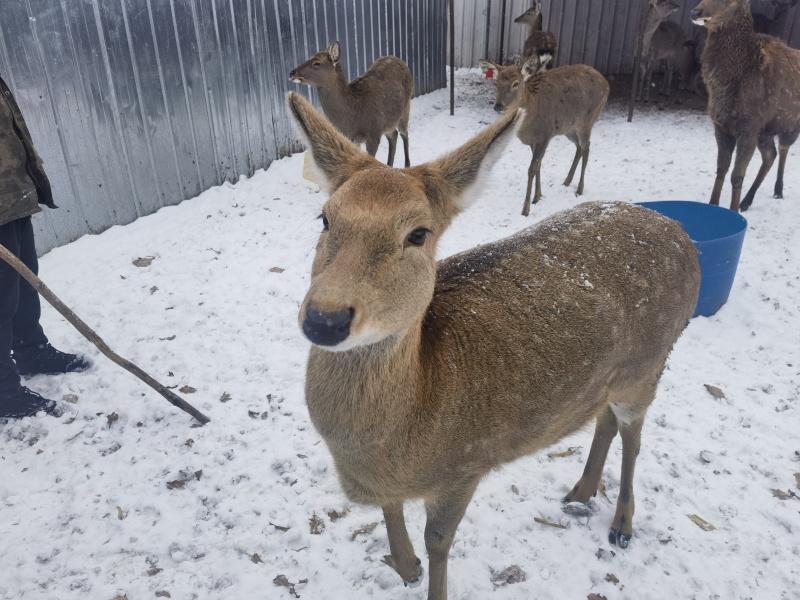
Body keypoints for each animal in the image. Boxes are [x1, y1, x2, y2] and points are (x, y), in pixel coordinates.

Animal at [287, 89, 701, 600]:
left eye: (418, 233)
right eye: (325, 217)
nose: (325, 318)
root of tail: (683, 235)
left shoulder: (465, 465)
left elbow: (439, 542)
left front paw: (424, 573)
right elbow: (394, 517)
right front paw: (406, 566)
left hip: (651, 362)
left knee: (635, 434)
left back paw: (622, 525)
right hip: (616, 377)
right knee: (604, 419)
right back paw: (580, 492)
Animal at [480, 54, 609, 216]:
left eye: (515, 83)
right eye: (496, 83)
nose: (498, 106)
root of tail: (607, 84)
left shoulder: (544, 135)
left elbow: (532, 169)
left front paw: (526, 208)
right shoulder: (534, 140)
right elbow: (538, 166)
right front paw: (538, 196)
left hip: (587, 120)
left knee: (586, 148)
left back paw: (579, 189)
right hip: (569, 127)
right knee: (579, 146)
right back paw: (567, 181)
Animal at [692, 0, 800, 212]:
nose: (695, 12)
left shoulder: (749, 125)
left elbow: (737, 176)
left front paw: (732, 211)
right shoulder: (721, 125)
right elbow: (721, 169)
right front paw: (713, 204)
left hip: (789, 125)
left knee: (782, 149)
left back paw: (778, 190)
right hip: (765, 131)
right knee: (771, 154)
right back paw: (747, 200)